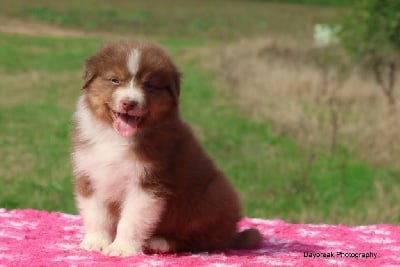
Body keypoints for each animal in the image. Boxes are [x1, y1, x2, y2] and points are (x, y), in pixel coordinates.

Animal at [71, 40, 262, 256]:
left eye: (149, 85)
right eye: (114, 80)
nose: (129, 103)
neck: (115, 137)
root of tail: (231, 234)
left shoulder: (148, 182)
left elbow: (131, 219)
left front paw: (122, 248)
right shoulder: (90, 174)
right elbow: (97, 214)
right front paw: (96, 242)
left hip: (212, 195)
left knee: (201, 241)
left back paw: (159, 242)